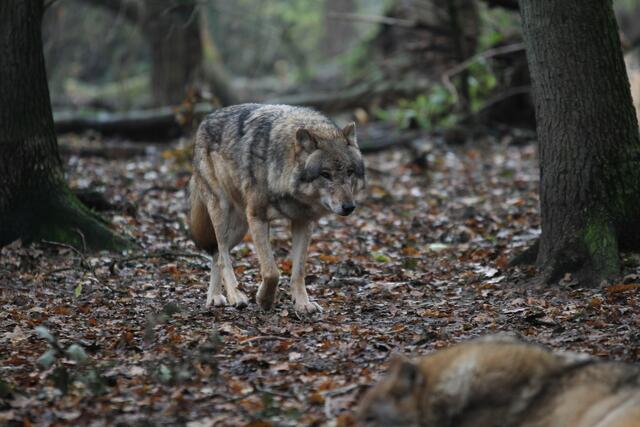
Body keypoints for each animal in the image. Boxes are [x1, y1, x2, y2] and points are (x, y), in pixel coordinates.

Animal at [187, 104, 365, 313]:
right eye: (325, 174)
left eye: (350, 172)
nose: (349, 207)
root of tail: (205, 120)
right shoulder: (258, 218)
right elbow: (272, 271)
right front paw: (264, 299)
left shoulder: (303, 222)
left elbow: (299, 271)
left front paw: (303, 304)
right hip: (223, 213)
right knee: (222, 256)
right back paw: (235, 296)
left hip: (239, 229)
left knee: (216, 254)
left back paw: (214, 297)